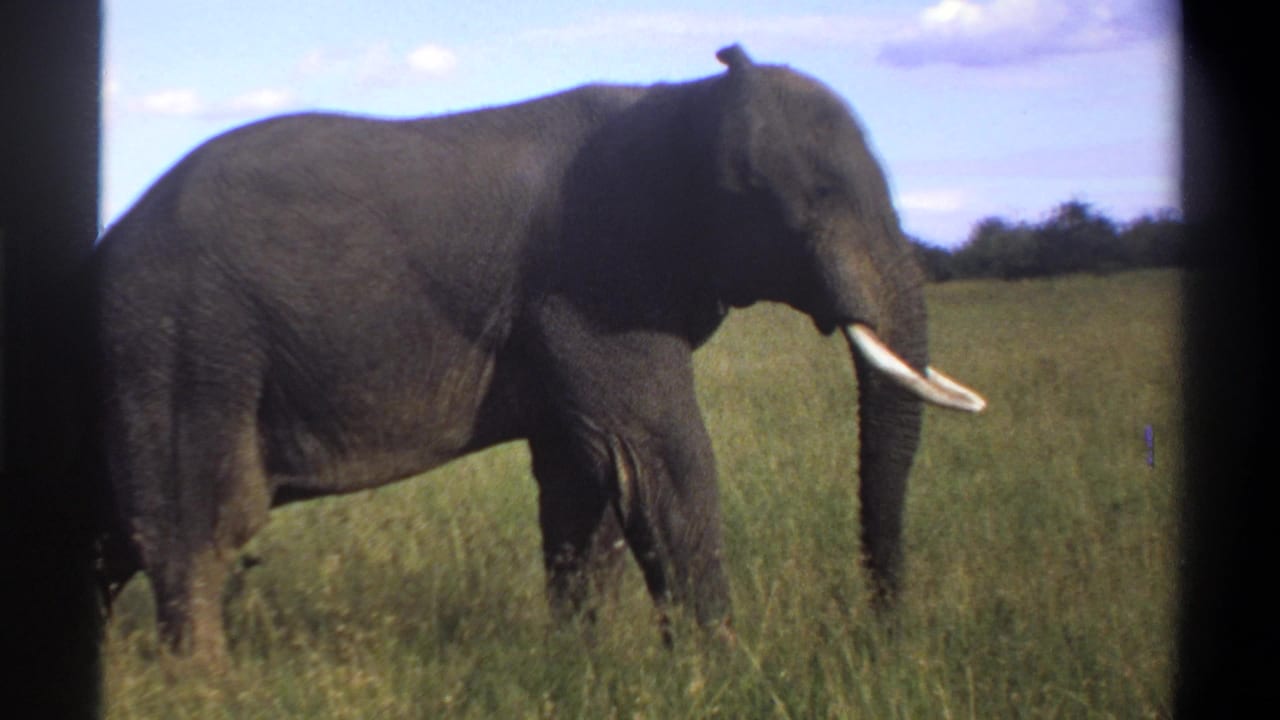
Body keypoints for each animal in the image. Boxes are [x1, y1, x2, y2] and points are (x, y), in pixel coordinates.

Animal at [90, 44, 984, 665]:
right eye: (818, 199)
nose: (880, 626)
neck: (682, 100)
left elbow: (587, 477)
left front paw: (580, 664)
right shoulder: (594, 280)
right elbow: (658, 458)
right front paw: (725, 675)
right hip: (182, 346)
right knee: (193, 527)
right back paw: (204, 685)